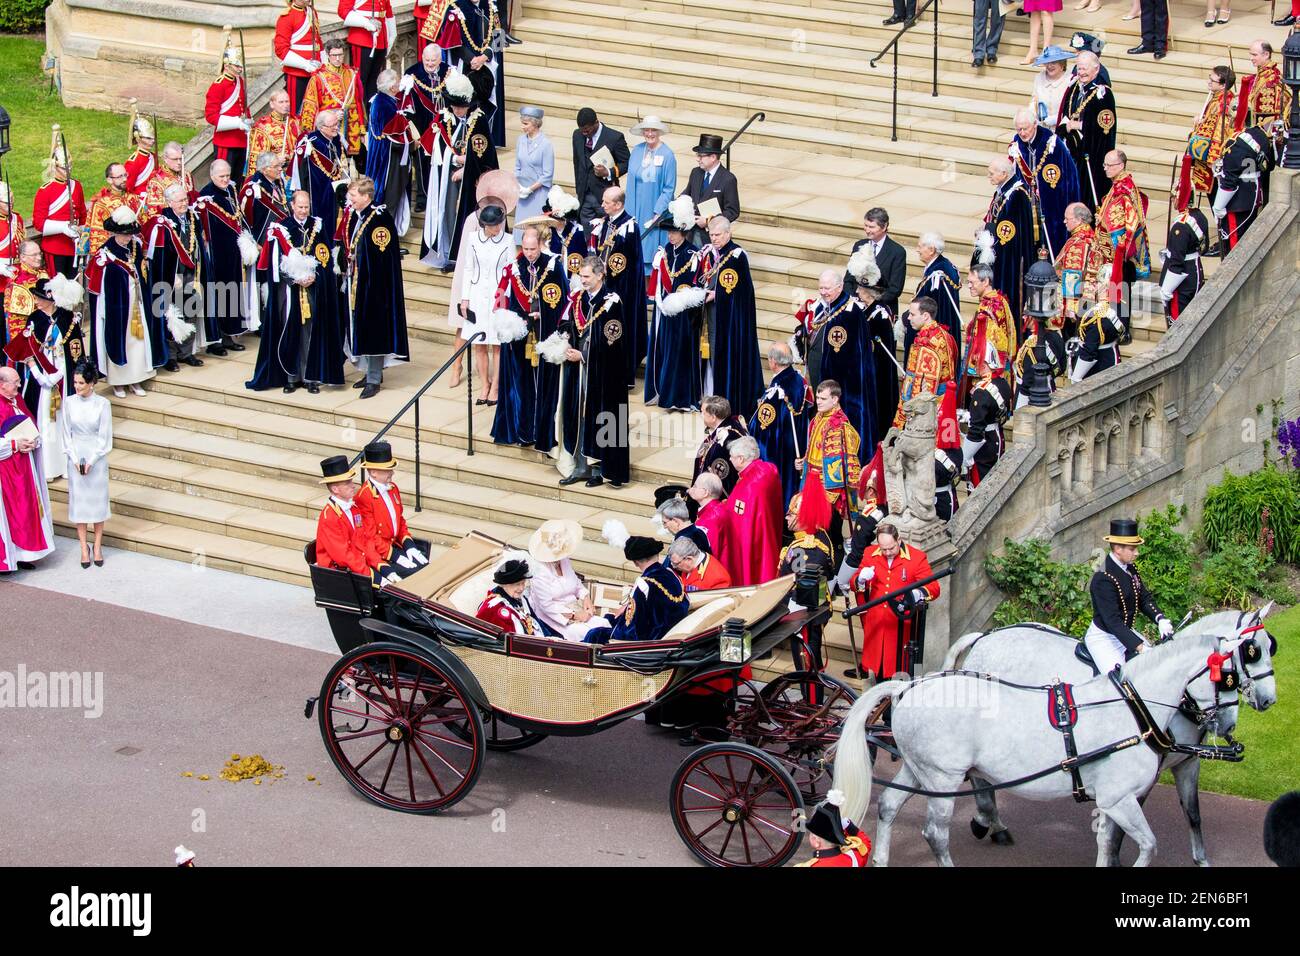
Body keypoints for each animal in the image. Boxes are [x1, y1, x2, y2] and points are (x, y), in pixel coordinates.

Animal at [837, 629, 1253, 868]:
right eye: (1230, 677)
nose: (1229, 727)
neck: (1132, 707)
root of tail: (909, 686)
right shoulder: (1120, 797)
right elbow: (1148, 845)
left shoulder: (1114, 800)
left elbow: (1109, 843)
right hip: (942, 779)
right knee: (935, 835)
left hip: (919, 769)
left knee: (889, 806)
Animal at [941, 613, 1274, 868]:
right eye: (1252, 652)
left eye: (1272, 646)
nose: (1268, 700)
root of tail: (985, 636)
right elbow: (1116, 832)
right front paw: (1111, 857)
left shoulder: (1186, 762)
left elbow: (1193, 815)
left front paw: (1201, 860)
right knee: (980, 776)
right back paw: (989, 821)